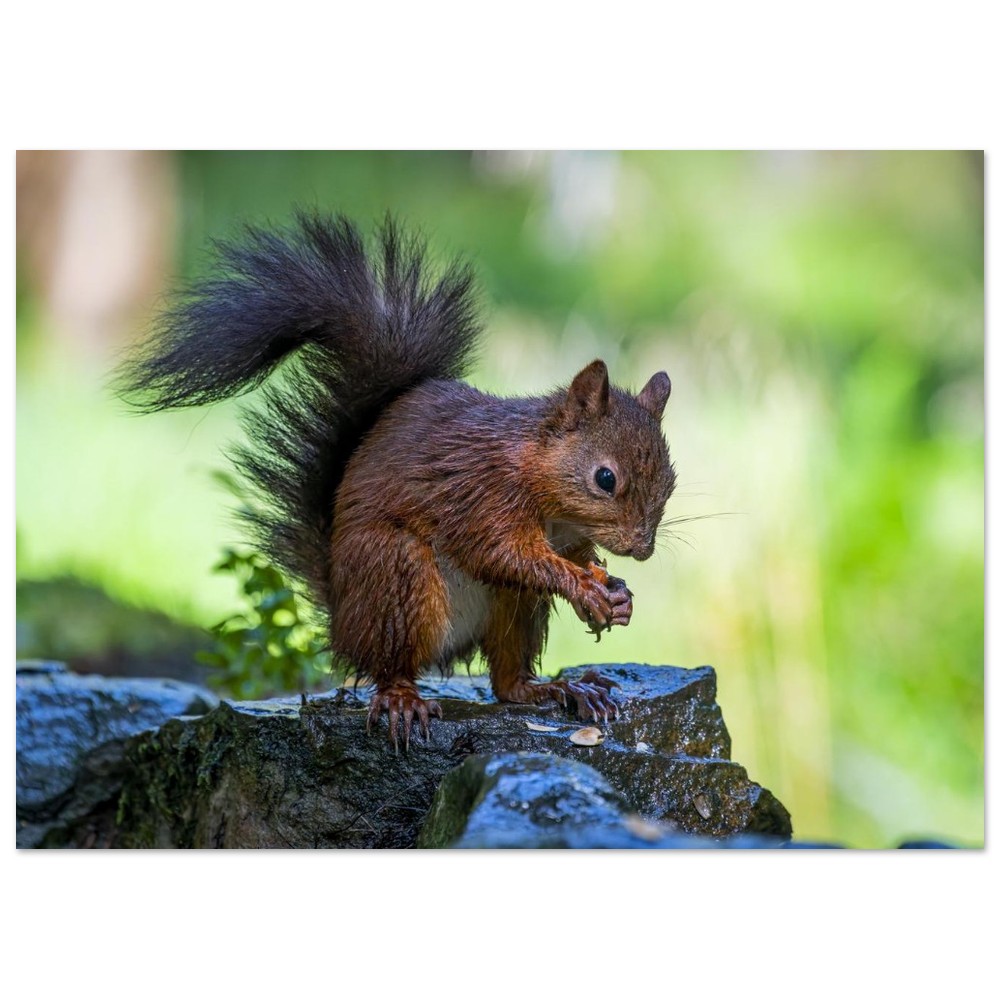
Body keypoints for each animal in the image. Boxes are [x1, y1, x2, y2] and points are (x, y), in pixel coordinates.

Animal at [117, 212, 677, 748]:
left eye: (670, 481)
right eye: (605, 478)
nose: (643, 549)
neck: (542, 482)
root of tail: (342, 619)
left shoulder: (565, 533)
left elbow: (572, 556)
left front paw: (615, 592)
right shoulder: (481, 495)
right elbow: (503, 553)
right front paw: (583, 586)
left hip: (513, 607)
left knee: (506, 681)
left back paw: (558, 688)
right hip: (395, 576)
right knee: (390, 665)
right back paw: (403, 699)